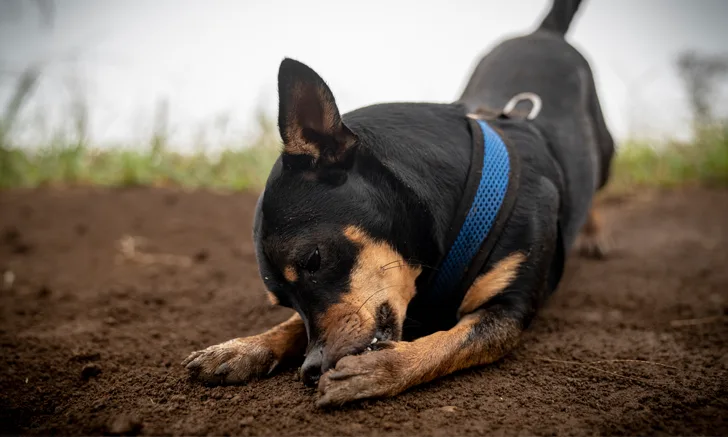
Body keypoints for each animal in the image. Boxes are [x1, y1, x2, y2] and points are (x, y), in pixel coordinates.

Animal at [183, 0, 616, 408]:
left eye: (313, 260)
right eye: (282, 300)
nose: (311, 368)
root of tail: (544, 33)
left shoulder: (507, 311)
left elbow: (445, 345)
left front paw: (378, 369)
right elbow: (292, 327)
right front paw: (244, 346)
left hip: (605, 151)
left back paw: (593, 233)